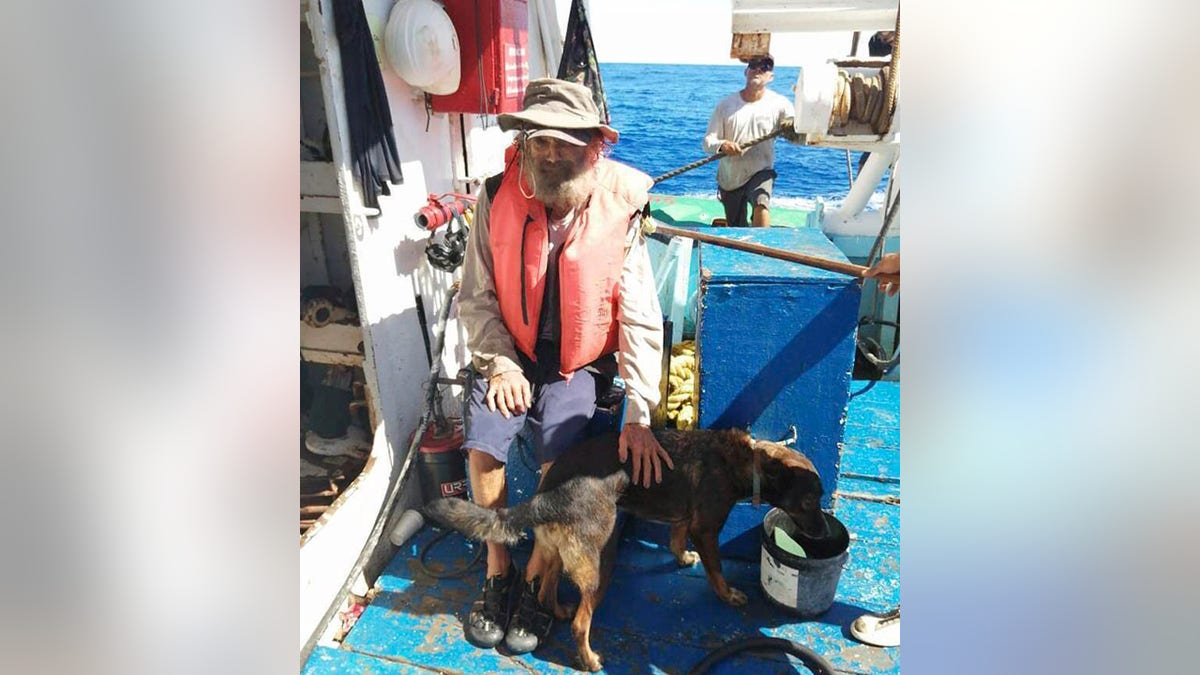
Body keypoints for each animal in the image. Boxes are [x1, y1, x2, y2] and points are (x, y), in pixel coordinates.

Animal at [422, 425, 825, 667]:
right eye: (809, 501)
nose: (822, 534)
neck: (745, 461)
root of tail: (547, 495)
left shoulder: (683, 519)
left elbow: (676, 539)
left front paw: (682, 558)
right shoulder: (706, 528)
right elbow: (716, 571)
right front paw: (729, 595)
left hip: (556, 552)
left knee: (548, 590)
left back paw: (560, 609)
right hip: (602, 563)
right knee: (581, 623)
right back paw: (588, 659)